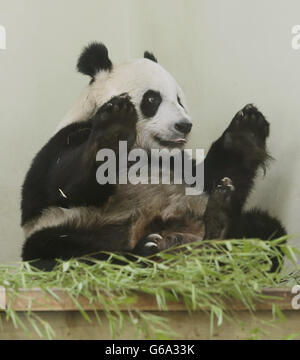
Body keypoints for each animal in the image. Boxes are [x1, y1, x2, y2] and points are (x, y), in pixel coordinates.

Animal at [20, 41, 286, 270]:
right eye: (152, 98)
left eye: (179, 99)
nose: (184, 125)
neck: (144, 148)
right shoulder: (65, 140)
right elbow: (56, 185)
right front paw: (114, 127)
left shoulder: (178, 162)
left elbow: (218, 175)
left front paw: (246, 131)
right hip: (78, 225)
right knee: (58, 249)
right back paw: (144, 251)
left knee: (265, 231)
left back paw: (217, 230)